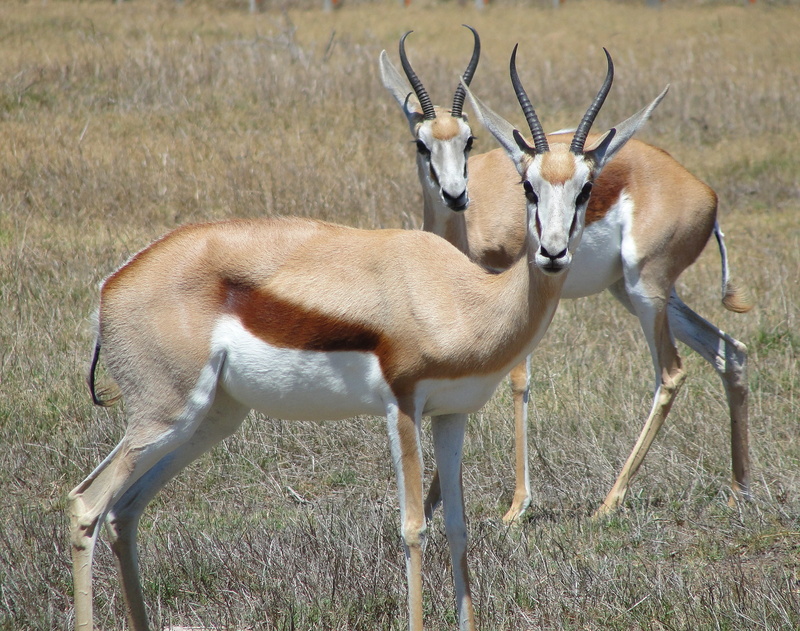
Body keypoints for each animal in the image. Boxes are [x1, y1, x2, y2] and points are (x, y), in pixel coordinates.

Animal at [67, 47, 664, 631]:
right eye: (528, 185)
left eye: (586, 188)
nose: (553, 252)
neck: (461, 295)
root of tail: (113, 284)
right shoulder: (402, 406)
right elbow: (414, 528)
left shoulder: (452, 414)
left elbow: (458, 527)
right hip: (164, 417)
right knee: (85, 505)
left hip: (209, 418)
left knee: (126, 511)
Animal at [380, 28, 752, 522]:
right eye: (422, 144)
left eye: (469, 140)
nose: (455, 194)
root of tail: (704, 191)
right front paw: (433, 499)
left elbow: (516, 381)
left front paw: (516, 506)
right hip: (634, 292)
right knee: (730, 352)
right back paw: (739, 491)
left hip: (646, 289)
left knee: (671, 373)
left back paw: (609, 503)